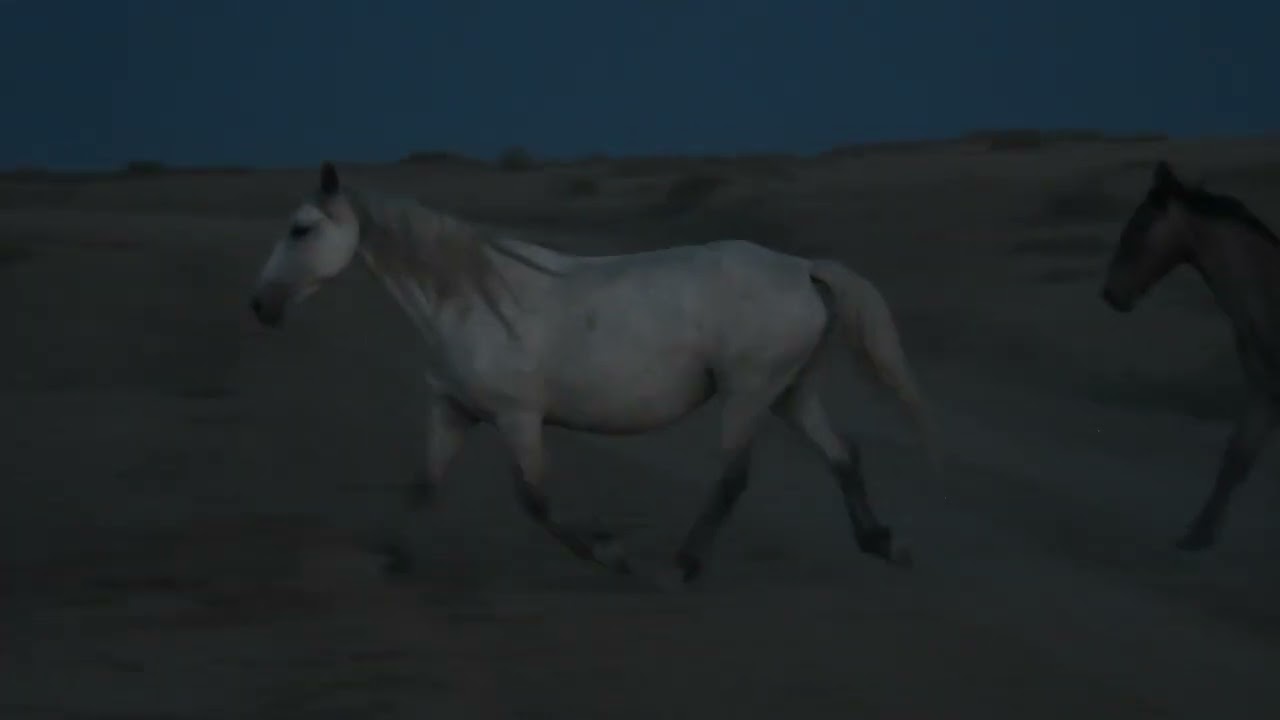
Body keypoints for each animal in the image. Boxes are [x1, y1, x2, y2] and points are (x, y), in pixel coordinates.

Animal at [248, 162, 937, 585]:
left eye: (301, 228)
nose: (259, 305)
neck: (475, 300)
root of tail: (802, 268)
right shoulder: (452, 411)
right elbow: (423, 485)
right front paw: (390, 559)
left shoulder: (517, 418)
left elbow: (535, 500)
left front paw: (612, 554)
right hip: (790, 392)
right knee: (842, 456)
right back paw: (885, 543)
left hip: (749, 392)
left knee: (734, 478)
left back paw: (680, 568)